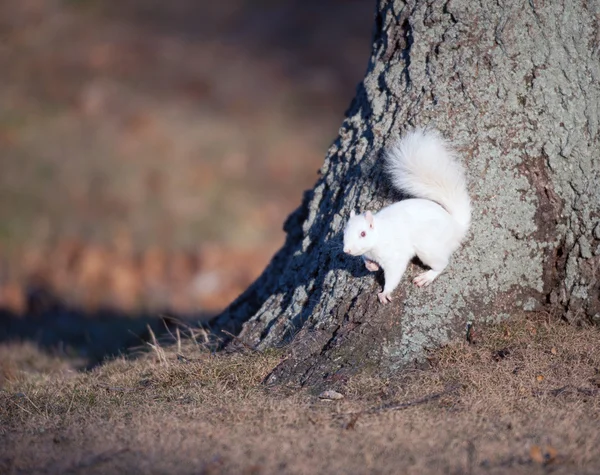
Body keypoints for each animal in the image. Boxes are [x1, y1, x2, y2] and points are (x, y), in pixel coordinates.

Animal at [344, 128, 472, 304]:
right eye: (344, 233)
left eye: (363, 233)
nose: (347, 250)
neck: (377, 239)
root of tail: (456, 226)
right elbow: (365, 259)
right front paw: (371, 265)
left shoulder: (395, 255)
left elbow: (394, 273)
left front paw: (385, 292)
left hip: (428, 247)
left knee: (442, 264)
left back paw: (427, 276)